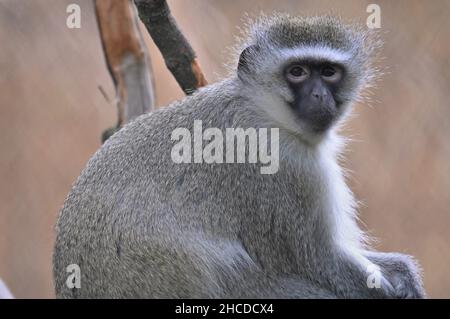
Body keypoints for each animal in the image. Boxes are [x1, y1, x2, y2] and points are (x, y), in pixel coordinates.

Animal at [52, 14, 426, 300]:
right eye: (297, 72)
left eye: (329, 72)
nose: (320, 95)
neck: (265, 112)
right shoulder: (284, 170)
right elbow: (319, 260)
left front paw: (404, 272)